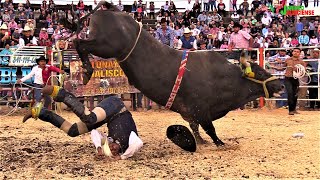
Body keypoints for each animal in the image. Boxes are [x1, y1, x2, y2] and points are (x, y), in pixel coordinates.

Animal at [68, 2, 282, 148]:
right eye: (260, 71)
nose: (280, 85)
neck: (223, 79)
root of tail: (113, 10)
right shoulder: (201, 110)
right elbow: (210, 129)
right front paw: (219, 143)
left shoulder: (191, 114)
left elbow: (196, 129)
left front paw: (201, 142)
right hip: (106, 46)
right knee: (80, 43)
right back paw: (87, 71)